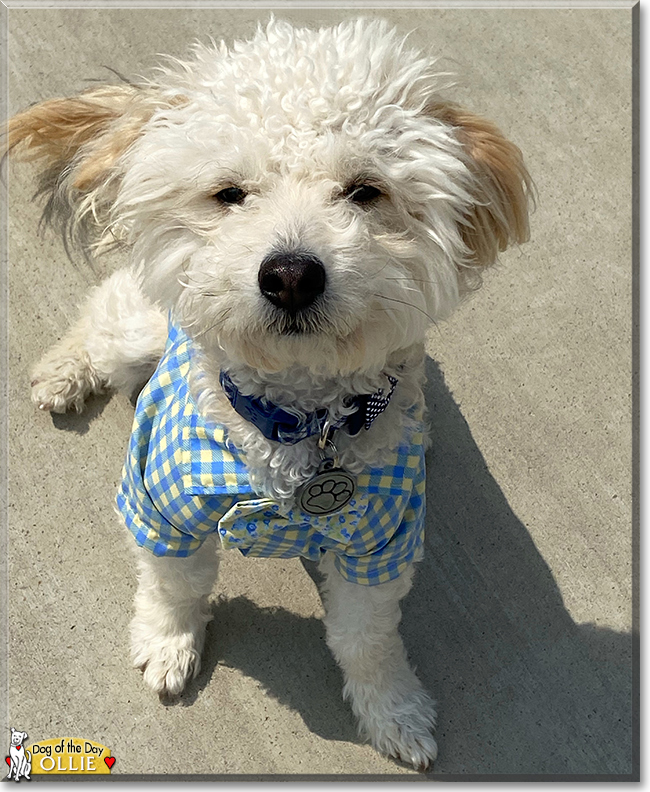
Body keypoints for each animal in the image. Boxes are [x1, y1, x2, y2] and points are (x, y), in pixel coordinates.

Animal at [7, 18, 528, 772]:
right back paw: (64, 372)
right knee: (100, 314)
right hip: (135, 327)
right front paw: (168, 642)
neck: (296, 419)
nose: (289, 275)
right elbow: (172, 585)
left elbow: (366, 637)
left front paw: (393, 709)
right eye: (230, 193)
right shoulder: (159, 504)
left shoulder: (381, 544)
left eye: (365, 191)